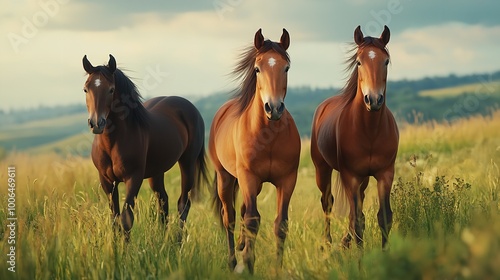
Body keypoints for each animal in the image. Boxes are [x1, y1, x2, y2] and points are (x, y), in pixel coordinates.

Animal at [81, 53, 208, 240]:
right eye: (86, 89)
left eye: (111, 89)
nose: (97, 123)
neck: (113, 142)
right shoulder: (107, 181)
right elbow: (114, 219)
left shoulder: (133, 178)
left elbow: (126, 219)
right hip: (156, 172)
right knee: (163, 200)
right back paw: (162, 240)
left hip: (188, 164)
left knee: (183, 203)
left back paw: (178, 242)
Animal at [210, 29, 300, 274]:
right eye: (257, 68)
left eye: (286, 67)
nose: (274, 108)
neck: (268, 137)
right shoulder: (248, 177)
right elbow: (252, 220)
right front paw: (248, 264)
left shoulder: (287, 180)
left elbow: (281, 224)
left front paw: (277, 269)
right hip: (226, 178)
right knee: (230, 217)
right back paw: (233, 261)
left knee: (241, 211)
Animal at [310, 25, 400, 249]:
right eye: (359, 62)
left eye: (385, 61)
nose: (374, 100)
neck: (370, 130)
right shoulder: (350, 176)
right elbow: (357, 221)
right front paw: (361, 258)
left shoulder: (385, 173)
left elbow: (384, 217)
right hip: (322, 170)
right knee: (327, 202)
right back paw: (327, 243)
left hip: (364, 179)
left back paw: (344, 241)